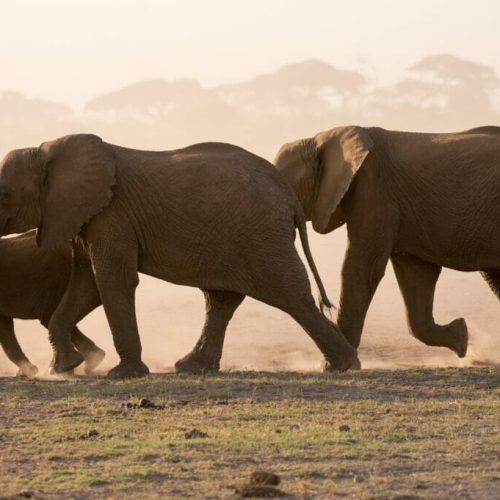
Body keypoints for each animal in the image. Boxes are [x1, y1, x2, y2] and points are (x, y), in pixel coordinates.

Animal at [0, 229, 104, 376]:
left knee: (48, 317)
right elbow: (4, 325)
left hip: (57, 277)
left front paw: (28, 373)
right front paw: (27, 372)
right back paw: (93, 361)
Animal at [274, 124, 500, 360]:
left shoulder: (375, 192)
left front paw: (333, 365)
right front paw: (462, 337)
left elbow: (360, 268)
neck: (319, 139)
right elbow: (416, 275)